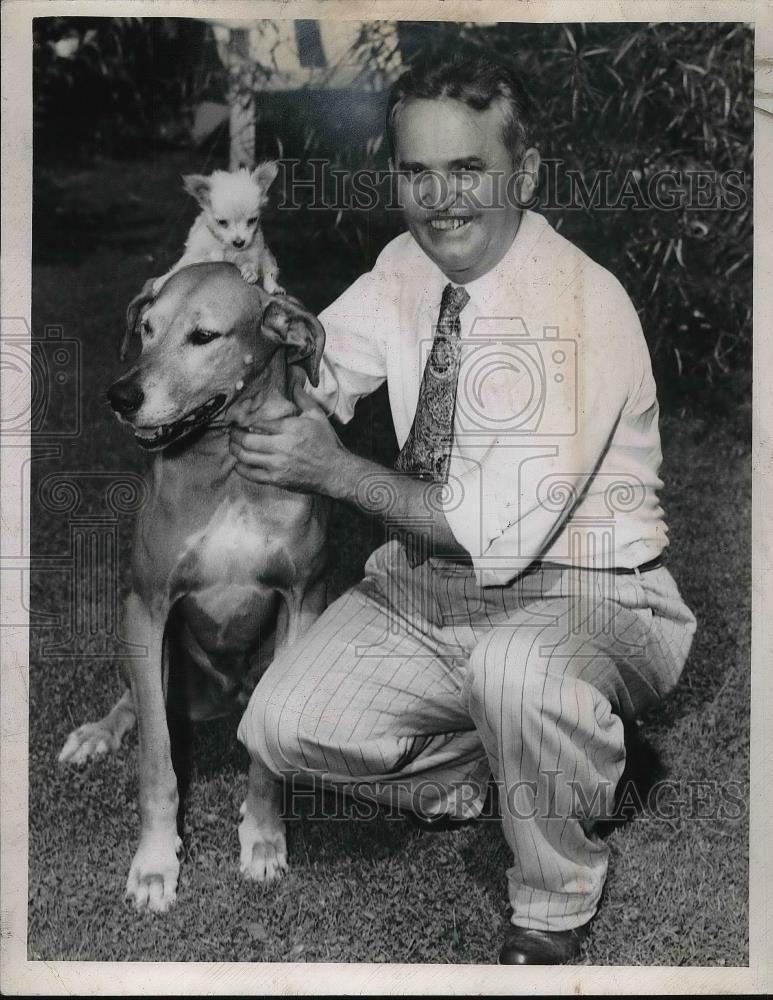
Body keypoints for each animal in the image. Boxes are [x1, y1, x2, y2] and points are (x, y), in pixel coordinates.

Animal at [58, 264, 328, 916]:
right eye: (147, 329)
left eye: (203, 336)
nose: (121, 396)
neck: (224, 465)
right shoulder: (147, 608)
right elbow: (158, 759)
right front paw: (156, 864)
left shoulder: (304, 599)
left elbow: (264, 762)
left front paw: (264, 837)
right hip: (135, 641)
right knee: (134, 702)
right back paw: (98, 732)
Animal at [153, 164, 284, 294]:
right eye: (222, 222)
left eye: (252, 220)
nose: (239, 243)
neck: (224, 246)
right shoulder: (197, 254)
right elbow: (181, 266)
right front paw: (163, 280)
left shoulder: (251, 252)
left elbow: (249, 261)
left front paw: (250, 271)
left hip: (266, 256)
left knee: (270, 272)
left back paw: (275, 288)